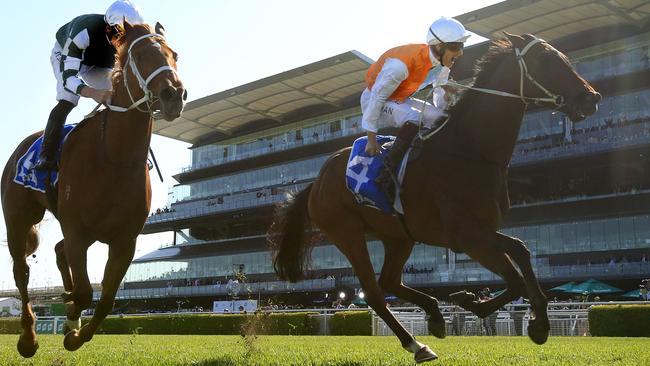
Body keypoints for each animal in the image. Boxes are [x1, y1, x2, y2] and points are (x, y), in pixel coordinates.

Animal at [1, 21, 184, 356]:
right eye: (140, 55)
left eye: (173, 54)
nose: (173, 94)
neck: (115, 158)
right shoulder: (79, 232)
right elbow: (87, 293)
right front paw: (71, 315)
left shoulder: (124, 241)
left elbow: (106, 301)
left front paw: (74, 332)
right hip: (19, 219)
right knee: (22, 273)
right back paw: (28, 338)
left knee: (58, 252)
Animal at [268, 32, 596, 364]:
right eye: (545, 60)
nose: (590, 98)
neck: (471, 151)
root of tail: (316, 182)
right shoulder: (468, 236)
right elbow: (515, 277)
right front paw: (481, 304)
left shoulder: (480, 232)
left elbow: (521, 251)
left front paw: (531, 319)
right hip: (347, 233)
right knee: (374, 293)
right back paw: (417, 344)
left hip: (399, 236)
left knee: (389, 281)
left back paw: (435, 315)